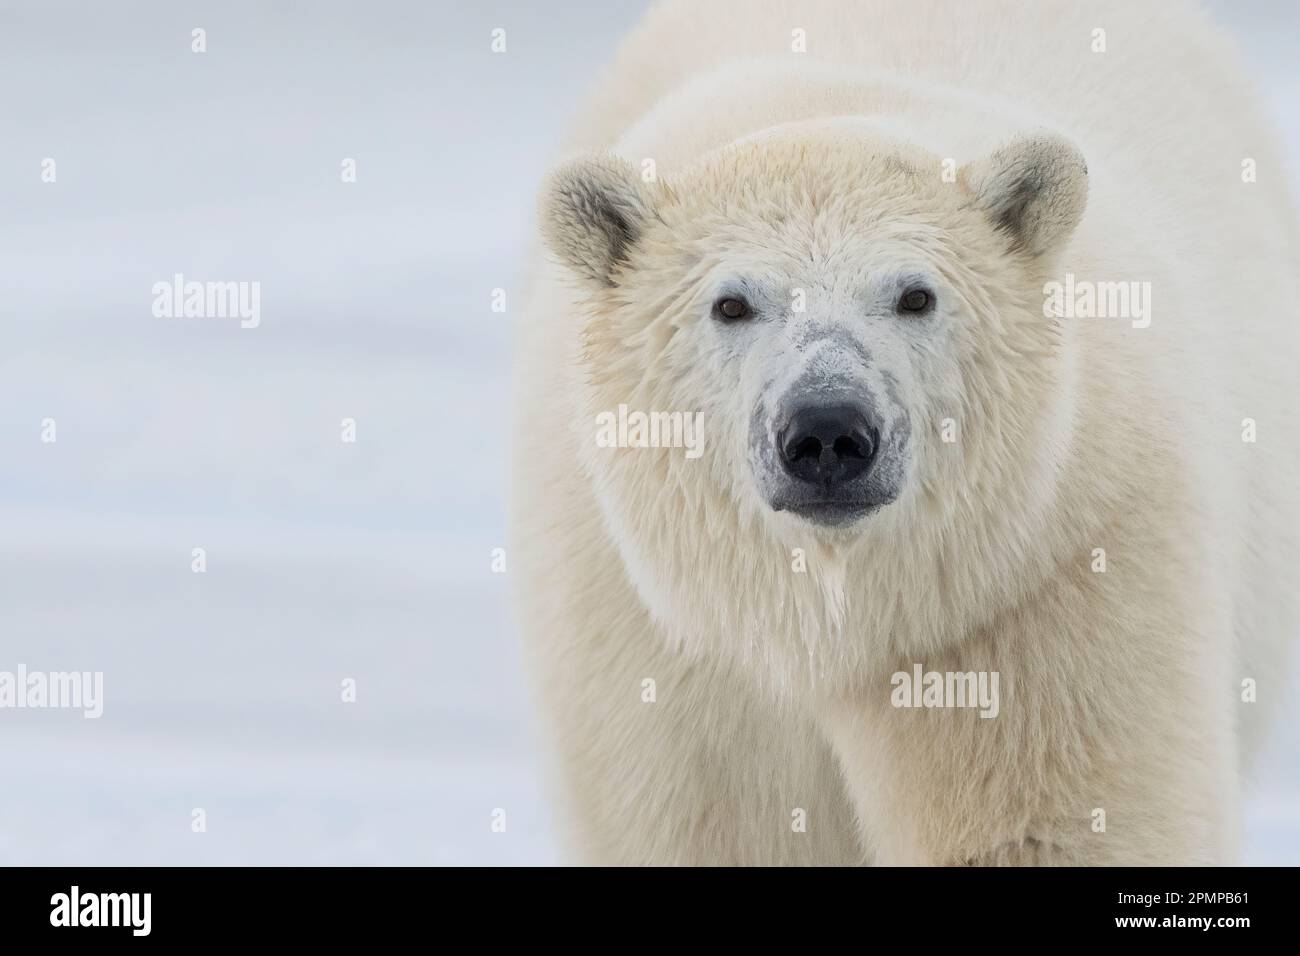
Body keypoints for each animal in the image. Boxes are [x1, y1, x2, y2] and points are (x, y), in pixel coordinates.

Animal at [512, 0, 1294, 868]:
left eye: (916, 295)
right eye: (731, 303)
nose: (827, 431)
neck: (828, 624)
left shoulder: (1035, 584)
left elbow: (1050, 825)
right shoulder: (656, 644)